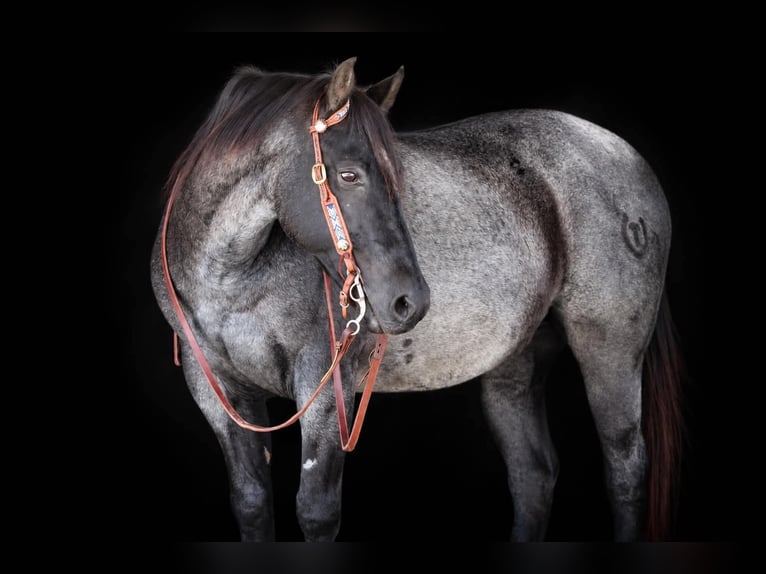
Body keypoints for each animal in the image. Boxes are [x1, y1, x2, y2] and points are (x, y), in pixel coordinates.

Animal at [150, 57, 683, 541]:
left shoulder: (324, 384)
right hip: (516, 363)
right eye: (348, 175)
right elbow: (252, 502)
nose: (410, 302)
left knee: (625, 467)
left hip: (610, 353)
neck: (231, 277)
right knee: (533, 474)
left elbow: (315, 512)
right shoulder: (216, 390)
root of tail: (624, 153)